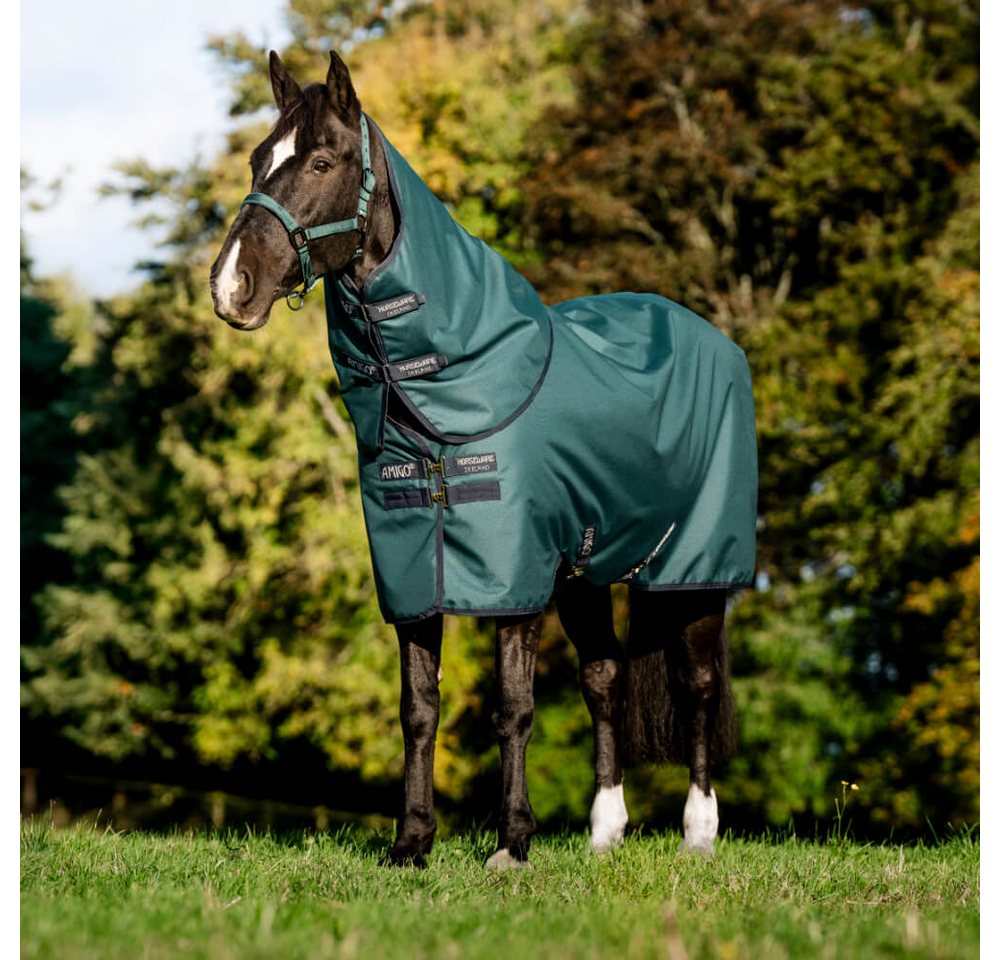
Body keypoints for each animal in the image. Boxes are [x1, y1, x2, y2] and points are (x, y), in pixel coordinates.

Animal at [210, 51, 756, 868]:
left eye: (321, 161)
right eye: (255, 160)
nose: (229, 286)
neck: (450, 390)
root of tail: (712, 339)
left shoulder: (514, 582)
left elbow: (514, 708)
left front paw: (512, 843)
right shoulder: (414, 577)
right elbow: (418, 708)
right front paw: (411, 843)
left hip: (693, 571)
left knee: (694, 685)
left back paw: (698, 832)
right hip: (586, 573)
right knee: (605, 680)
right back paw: (605, 832)